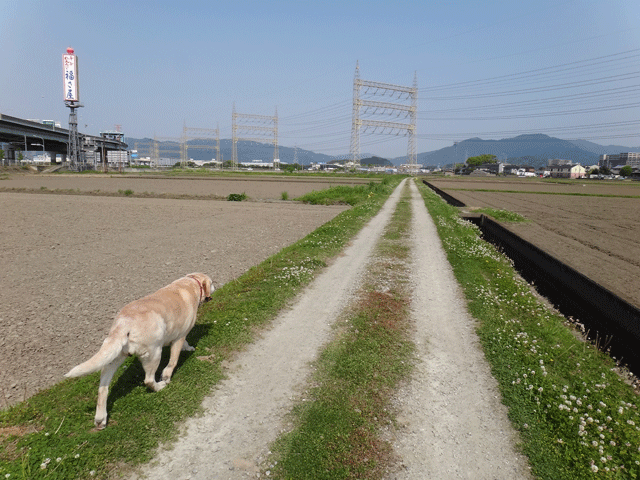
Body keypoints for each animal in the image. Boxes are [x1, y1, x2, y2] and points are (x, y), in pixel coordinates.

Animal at [66, 272, 214, 430]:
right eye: (211, 283)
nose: (214, 285)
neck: (191, 283)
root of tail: (123, 323)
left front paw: (188, 347)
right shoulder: (179, 337)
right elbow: (173, 361)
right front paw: (167, 376)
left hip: (113, 357)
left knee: (103, 389)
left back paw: (100, 419)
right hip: (154, 354)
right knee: (148, 380)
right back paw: (159, 386)